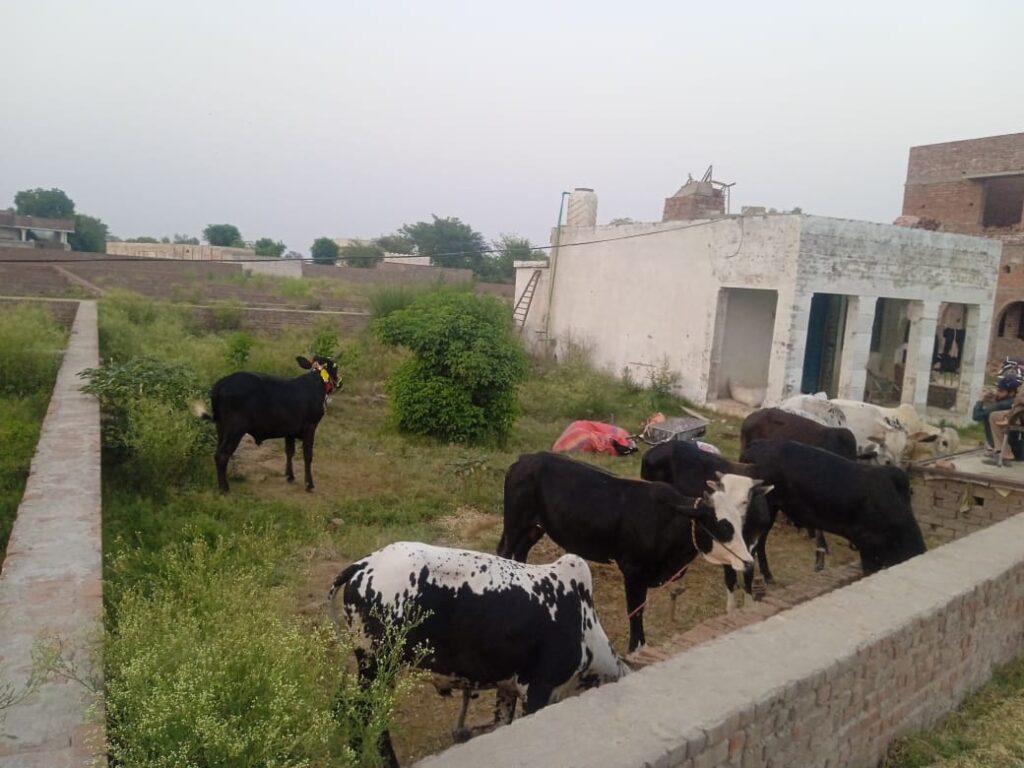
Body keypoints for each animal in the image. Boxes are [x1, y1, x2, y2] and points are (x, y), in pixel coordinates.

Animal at [194, 355, 339, 492]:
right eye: (336, 367)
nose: (340, 382)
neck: (315, 383)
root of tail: (221, 383)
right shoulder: (310, 426)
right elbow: (308, 455)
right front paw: (309, 484)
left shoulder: (290, 430)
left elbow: (289, 451)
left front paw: (290, 476)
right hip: (235, 429)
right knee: (222, 455)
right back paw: (224, 488)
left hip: (221, 427)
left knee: (217, 453)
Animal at [328, 541, 631, 767]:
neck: (584, 628)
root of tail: (363, 565)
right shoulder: (537, 690)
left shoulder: (508, 688)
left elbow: (502, 725)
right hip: (377, 667)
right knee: (363, 716)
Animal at [498, 451, 761, 652]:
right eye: (723, 526)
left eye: (740, 522)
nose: (749, 562)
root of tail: (526, 458)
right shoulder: (634, 572)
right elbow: (636, 612)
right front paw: (637, 648)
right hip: (515, 524)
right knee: (505, 552)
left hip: (534, 528)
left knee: (520, 555)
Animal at [640, 440, 774, 610]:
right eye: (720, 497)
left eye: (745, 501)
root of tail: (652, 450)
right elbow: (730, 579)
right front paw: (732, 609)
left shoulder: (753, 542)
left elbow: (748, 576)